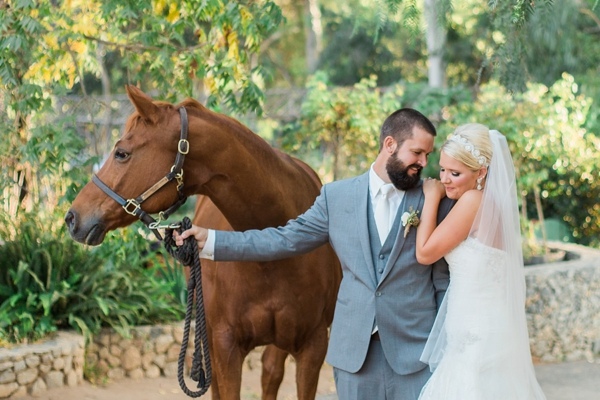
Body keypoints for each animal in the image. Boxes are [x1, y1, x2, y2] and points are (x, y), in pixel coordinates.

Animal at [65, 86, 342, 400]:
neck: (272, 255)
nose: (72, 217)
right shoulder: (225, 346)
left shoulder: (313, 348)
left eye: (121, 153)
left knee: (271, 372)